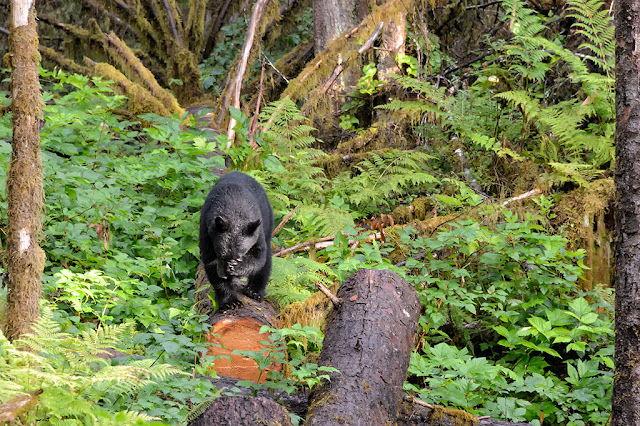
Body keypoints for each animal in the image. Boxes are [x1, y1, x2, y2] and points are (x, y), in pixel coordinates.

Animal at [198, 171, 272, 312]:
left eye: (239, 255)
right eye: (220, 254)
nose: (224, 275)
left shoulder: (256, 230)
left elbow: (259, 256)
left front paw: (237, 267)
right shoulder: (206, 230)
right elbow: (210, 263)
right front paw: (230, 302)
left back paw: (255, 291)